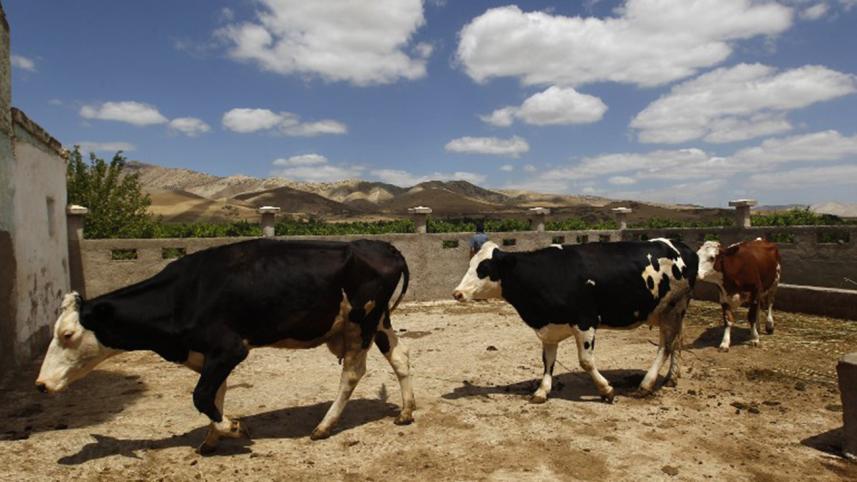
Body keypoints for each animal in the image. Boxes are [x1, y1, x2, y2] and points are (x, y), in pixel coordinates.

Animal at [35, 238, 415, 453]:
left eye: (67, 334)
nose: (40, 384)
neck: (183, 295)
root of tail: (384, 246)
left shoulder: (230, 348)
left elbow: (202, 396)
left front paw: (232, 428)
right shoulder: (208, 355)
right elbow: (215, 394)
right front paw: (210, 440)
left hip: (361, 322)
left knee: (353, 372)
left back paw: (324, 426)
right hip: (379, 321)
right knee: (400, 357)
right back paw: (406, 411)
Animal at [452, 239, 699, 403]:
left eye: (484, 268)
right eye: (470, 264)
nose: (457, 293)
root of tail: (682, 247)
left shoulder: (585, 321)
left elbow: (586, 361)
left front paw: (606, 390)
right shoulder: (549, 328)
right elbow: (548, 360)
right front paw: (542, 391)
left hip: (673, 307)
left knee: (666, 346)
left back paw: (645, 385)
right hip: (667, 312)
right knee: (675, 341)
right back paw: (671, 378)